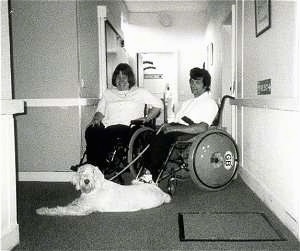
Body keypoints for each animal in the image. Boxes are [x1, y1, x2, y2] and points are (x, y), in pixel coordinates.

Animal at [35, 163, 171, 216]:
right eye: (82, 172)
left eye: (93, 172)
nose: (86, 181)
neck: (93, 190)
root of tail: (163, 193)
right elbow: (72, 203)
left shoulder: (82, 210)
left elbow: (62, 209)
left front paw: (44, 210)